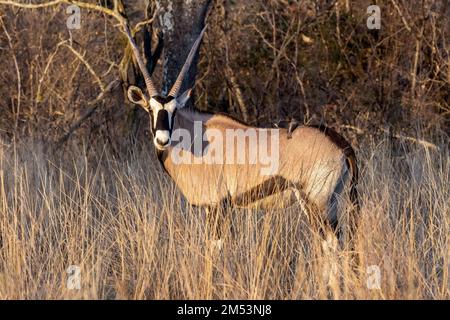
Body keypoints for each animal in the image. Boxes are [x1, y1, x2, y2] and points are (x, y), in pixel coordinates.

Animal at [122, 25, 358, 245]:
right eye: (150, 109)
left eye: (174, 110)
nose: (162, 139)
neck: (194, 138)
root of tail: (342, 146)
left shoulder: (218, 205)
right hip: (330, 201)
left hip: (316, 201)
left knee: (331, 244)